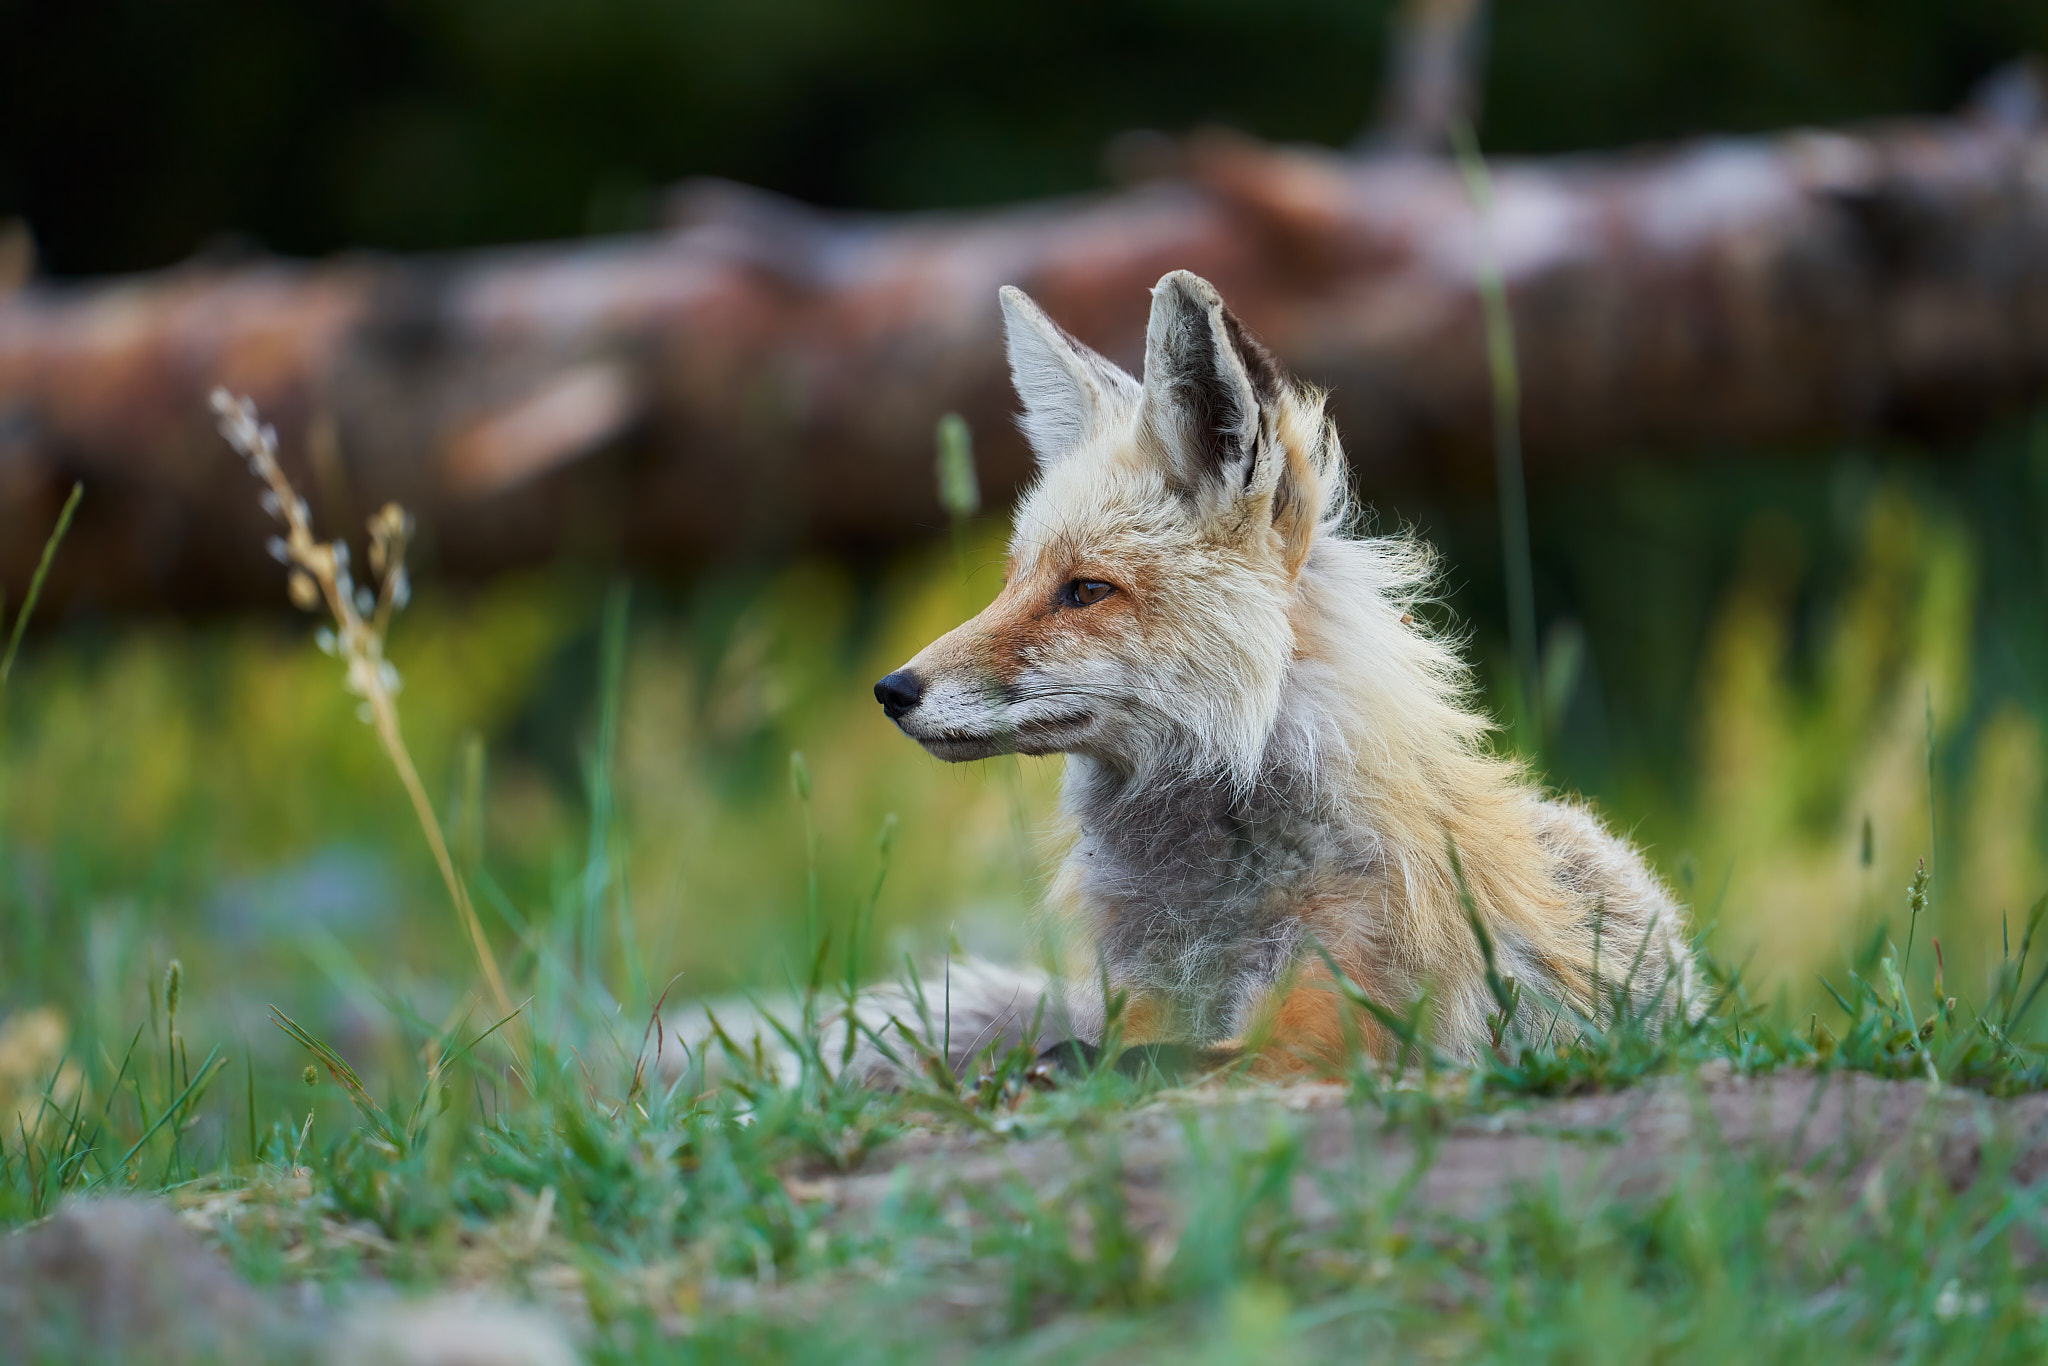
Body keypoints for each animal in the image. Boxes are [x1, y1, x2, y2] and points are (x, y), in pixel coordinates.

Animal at [862, 270, 1694, 1080]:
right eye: (1012, 583)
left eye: (1087, 590)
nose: (892, 691)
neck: (1210, 894)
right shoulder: (1142, 991)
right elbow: (1122, 1043)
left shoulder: (1330, 1025)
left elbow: (1160, 1061)